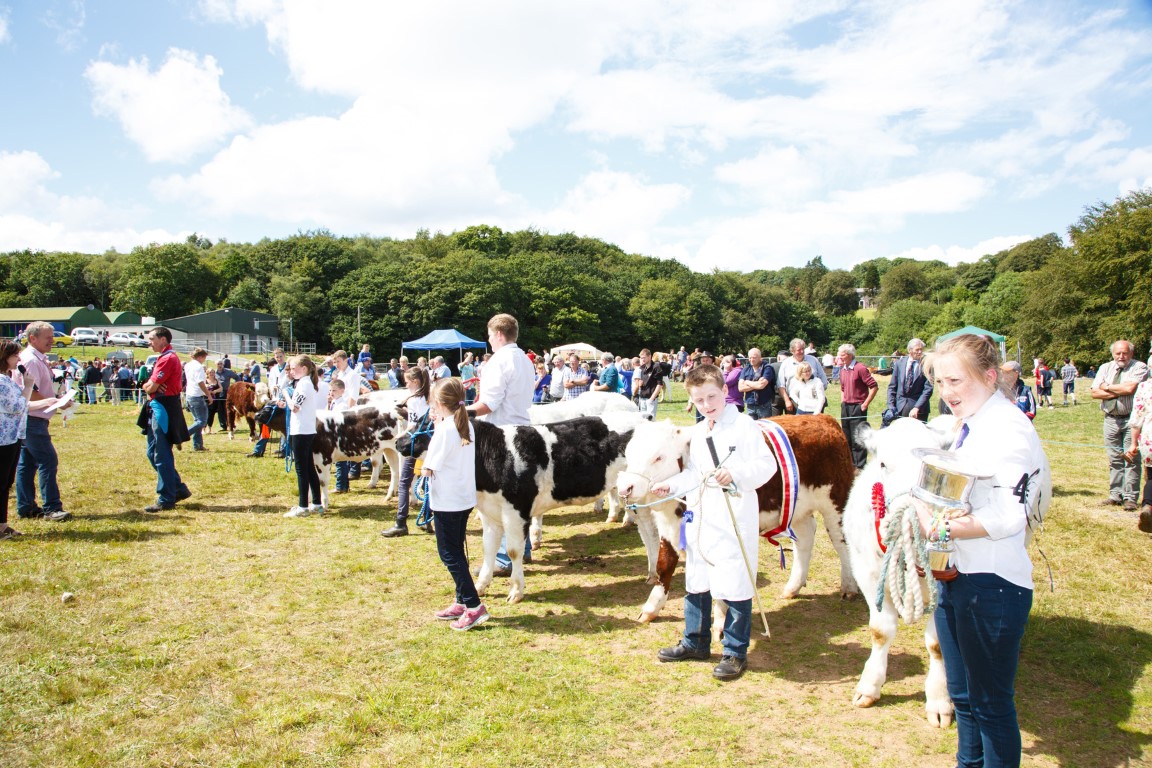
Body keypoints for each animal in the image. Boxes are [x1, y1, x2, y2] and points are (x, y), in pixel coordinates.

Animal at [395, 412, 651, 604]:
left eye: (429, 425)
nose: (398, 442)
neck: (495, 456)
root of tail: (643, 418)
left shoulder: (515, 512)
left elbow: (513, 551)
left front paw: (516, 591)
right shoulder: (489, 513)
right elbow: (488, 549)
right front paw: (481, 586)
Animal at [615, 414, 858, 623]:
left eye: (658, 457)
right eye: (629, 454)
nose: (625, 487)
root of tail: (824, 419)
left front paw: (721, 617)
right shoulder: (669, 527)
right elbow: (664, 564)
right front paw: (651, 608)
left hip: (836, 503)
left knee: (842, 541)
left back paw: (849, 587)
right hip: (797, 508)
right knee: (805, 539)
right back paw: (793, 587)